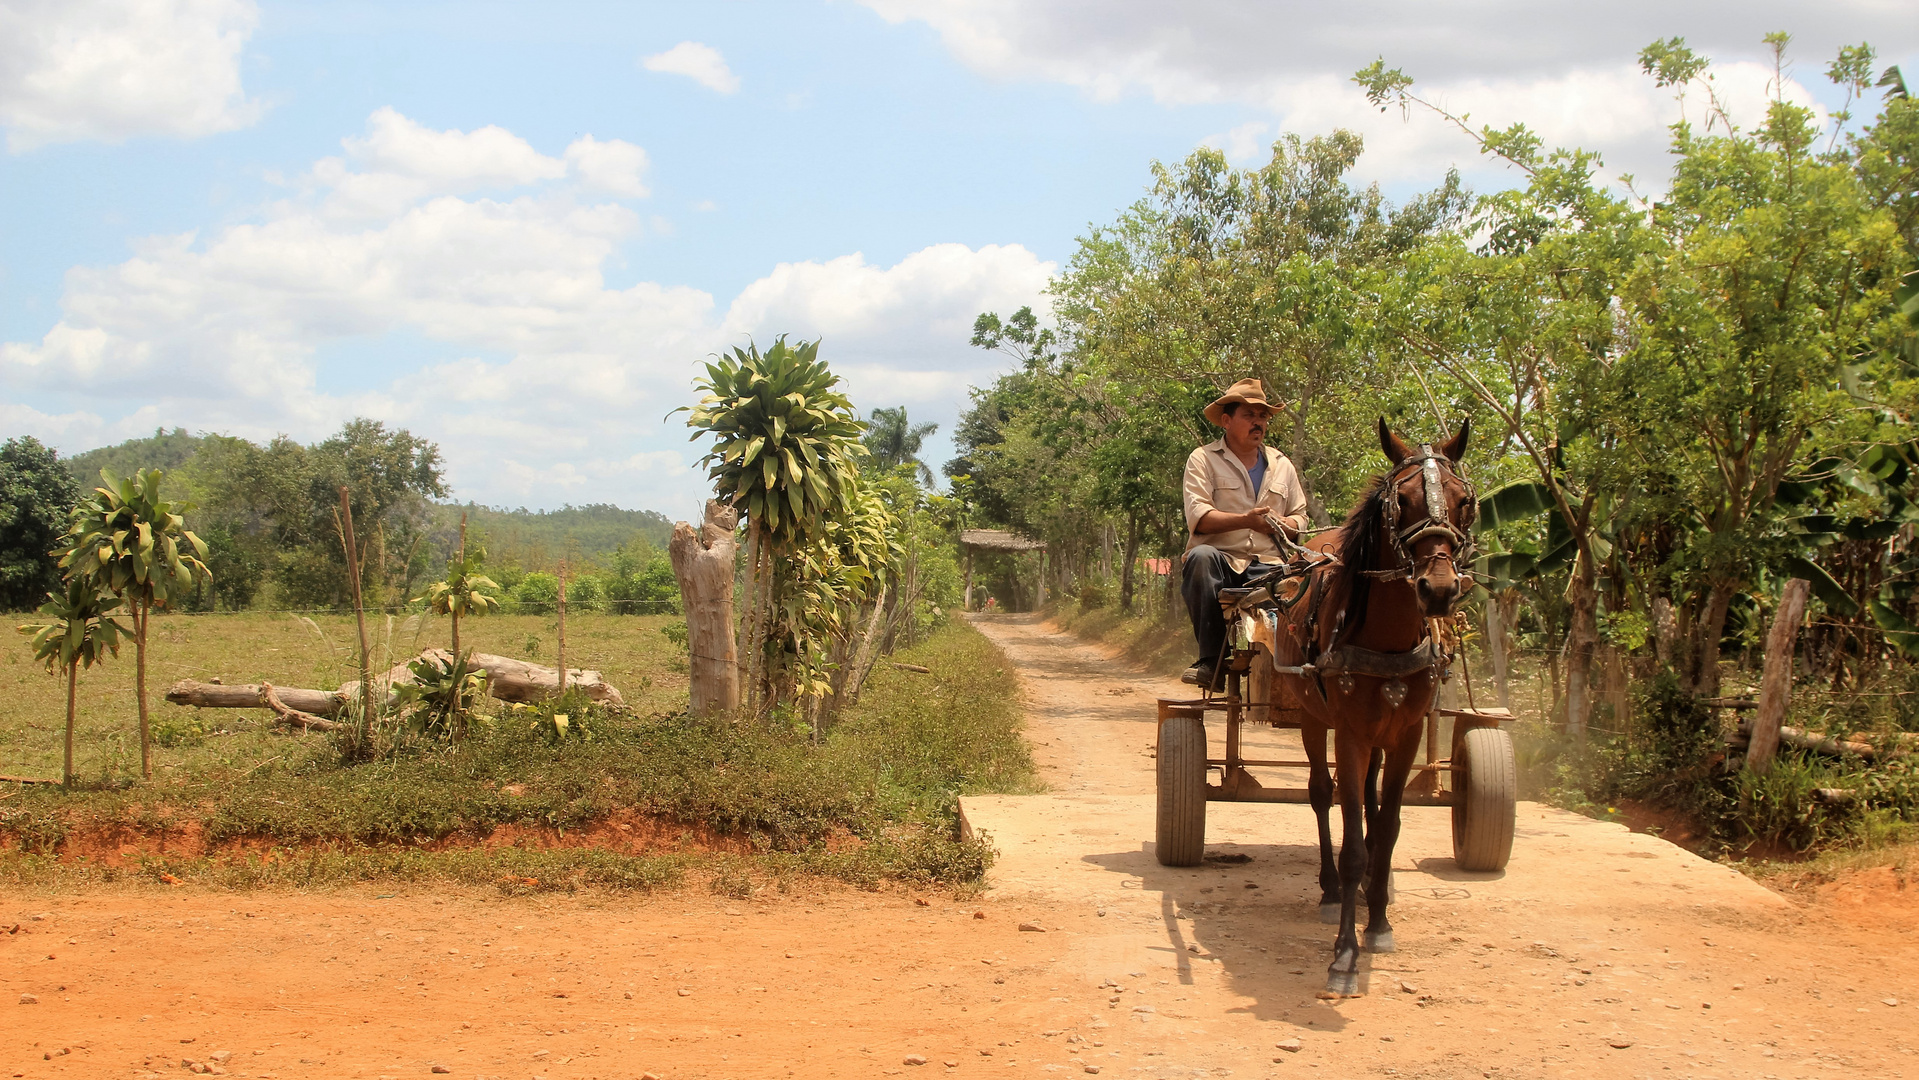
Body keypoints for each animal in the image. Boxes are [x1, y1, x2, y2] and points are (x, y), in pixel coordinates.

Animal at [1274, 416, 1481, 997]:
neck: (1385, 636)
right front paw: (1344, 953)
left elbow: (1386, 829)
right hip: (1313, 718)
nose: (1437, 590)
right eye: (1401, 500)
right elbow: (1352, 844)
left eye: (1463, 501)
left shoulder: (1405, 733)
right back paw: (1329, 891)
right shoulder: (1349, 734)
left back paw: (1369, 892)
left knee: (1366, 801)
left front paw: (1380, 921)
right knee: (1322, 795)